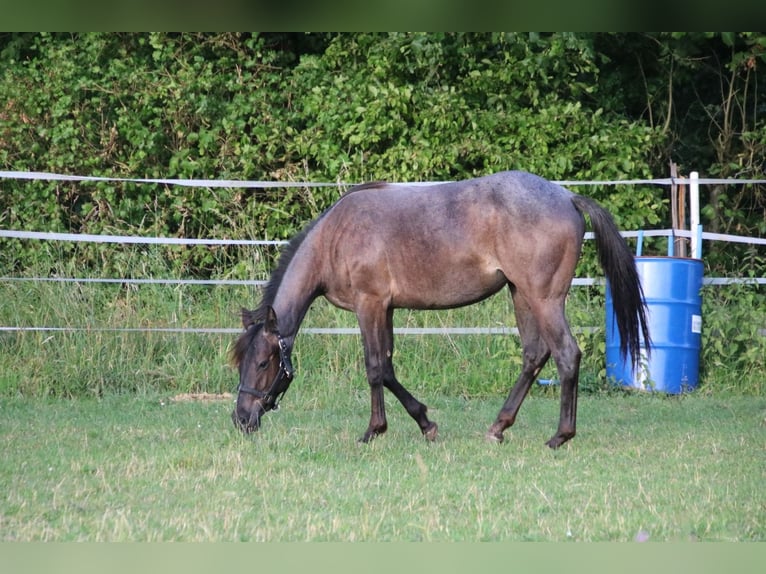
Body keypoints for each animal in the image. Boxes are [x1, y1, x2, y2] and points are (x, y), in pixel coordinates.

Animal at [231, 170, 650, 448]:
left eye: (264, 363)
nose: (241, 418)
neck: (336, 236)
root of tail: (567, 197)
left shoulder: (369, 304)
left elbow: (374, 368)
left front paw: (374, 431)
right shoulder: (386, 308)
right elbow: (388, 367)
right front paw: (425, 424)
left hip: (543, 298)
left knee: (565, 354)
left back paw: (559, 437)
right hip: (521, 294)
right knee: (534, 355)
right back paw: (499, 427)